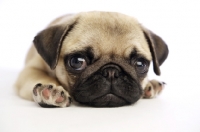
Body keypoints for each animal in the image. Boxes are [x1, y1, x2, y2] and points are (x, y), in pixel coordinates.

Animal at [14, 11, 169, 107]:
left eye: (140, 64)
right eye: (77, 61)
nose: (111, 72)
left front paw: (149, 83)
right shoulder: (31, 69)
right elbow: (41, 77)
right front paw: (50, 90)